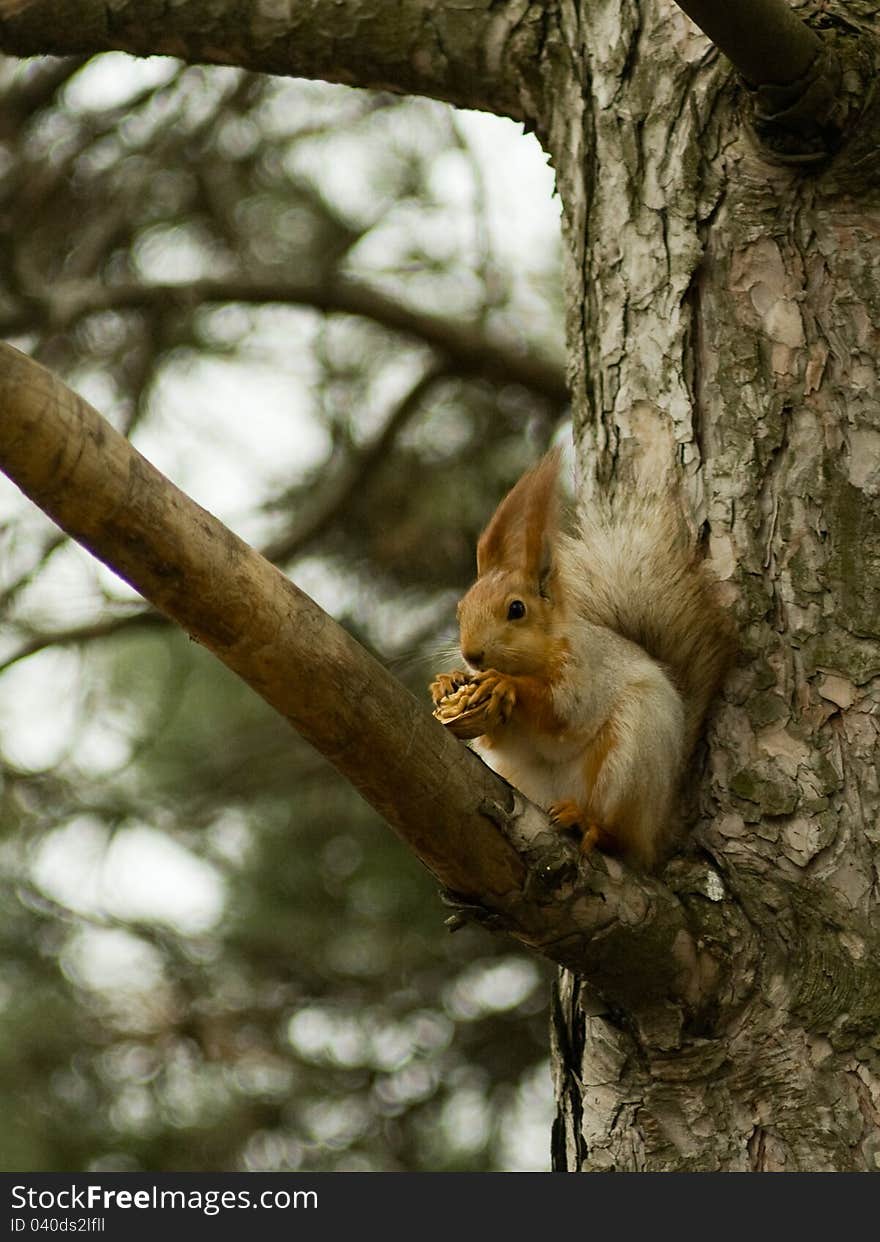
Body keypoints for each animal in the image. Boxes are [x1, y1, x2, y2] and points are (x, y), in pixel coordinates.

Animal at [429, 452, 729, 869]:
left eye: (517, 609)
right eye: (460, 610)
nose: (472, 655)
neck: (537, 656)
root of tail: (656, 831)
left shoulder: (584, 671)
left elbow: (562, 711)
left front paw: (506, 685)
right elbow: (496, 740)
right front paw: (447, 682)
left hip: (630, 753)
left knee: (620, 836)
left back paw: (589, 824)